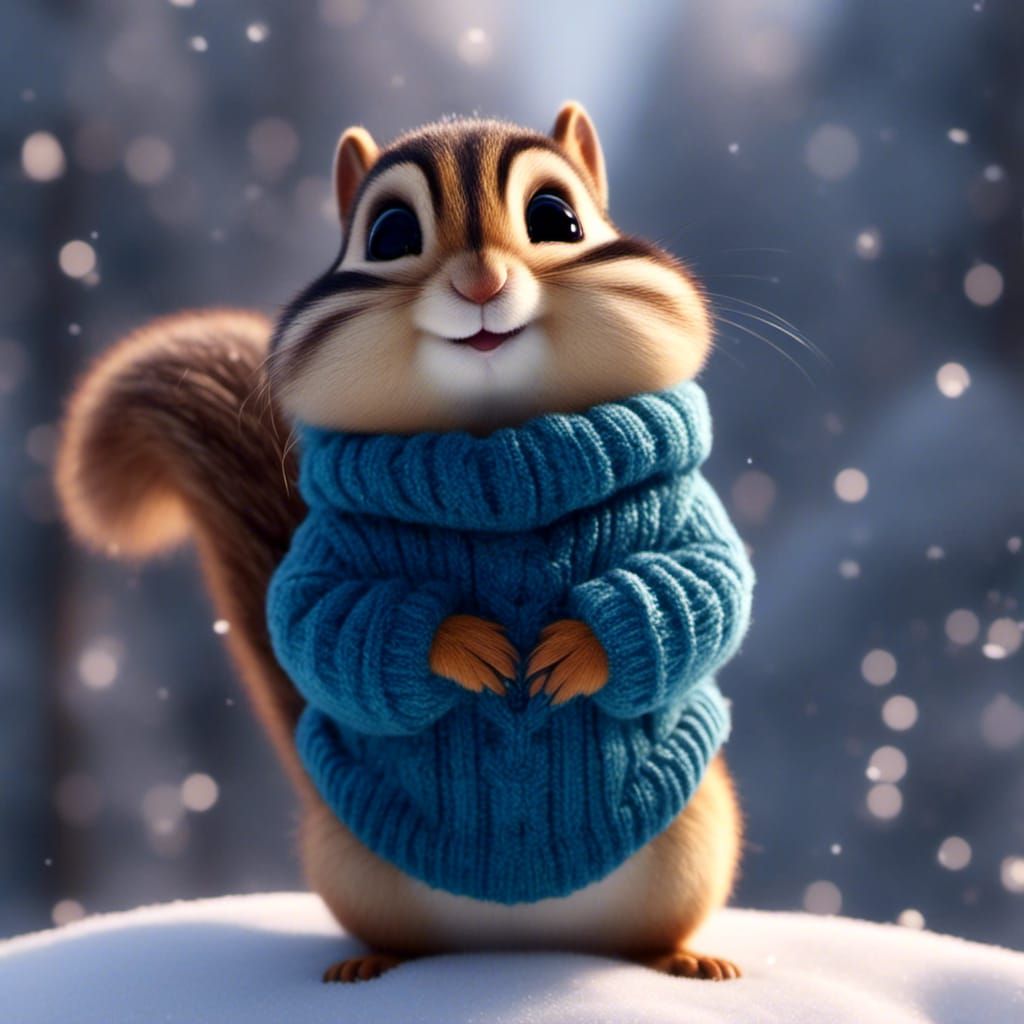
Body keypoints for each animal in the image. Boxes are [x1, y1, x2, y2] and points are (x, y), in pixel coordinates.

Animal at [56, 103, 751, 984]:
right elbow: (317, 623)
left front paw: (576, 649)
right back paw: (370, 963)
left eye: (556, 219)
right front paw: (462, 645)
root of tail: (514, 944)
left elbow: (706, 582)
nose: (481, 285)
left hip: (696, 839)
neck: (497, 447)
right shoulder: (325, 555)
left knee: (650, 933)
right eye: (389, 234)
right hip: (354, 862)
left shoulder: (686, 511)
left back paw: (685, 959)